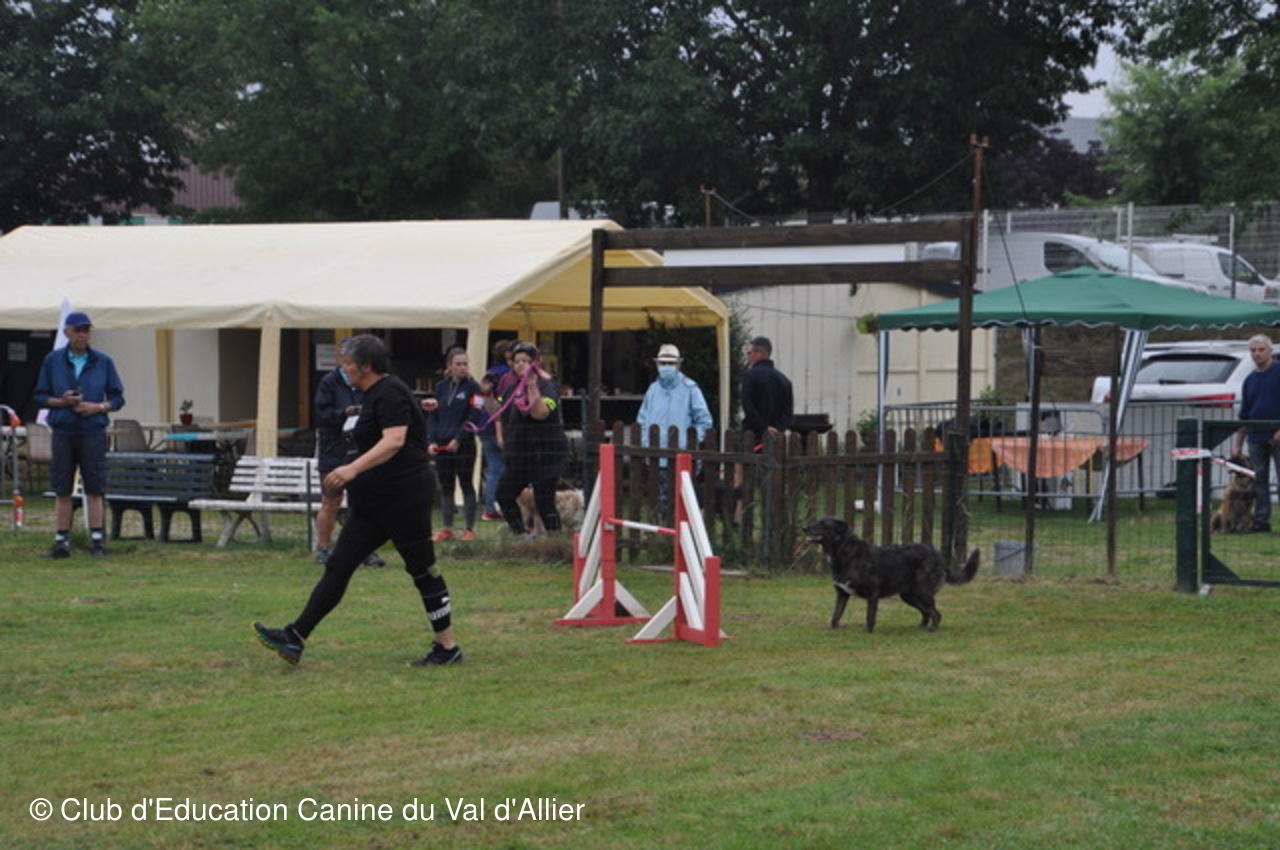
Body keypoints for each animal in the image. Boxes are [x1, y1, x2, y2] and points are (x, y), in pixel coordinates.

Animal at [803, 517, 980, 633]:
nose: (804, 528)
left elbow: (870, 616)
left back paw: (932, 630)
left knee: (936, 614)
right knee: (926, 612)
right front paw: (832, 630)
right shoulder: (842, 593)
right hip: (909, 595)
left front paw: (868, 633)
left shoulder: (873, 593)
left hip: (921, 593)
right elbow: (836, 615)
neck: (846, 551)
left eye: (823, 524)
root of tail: (938, 556)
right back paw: (920, 627)